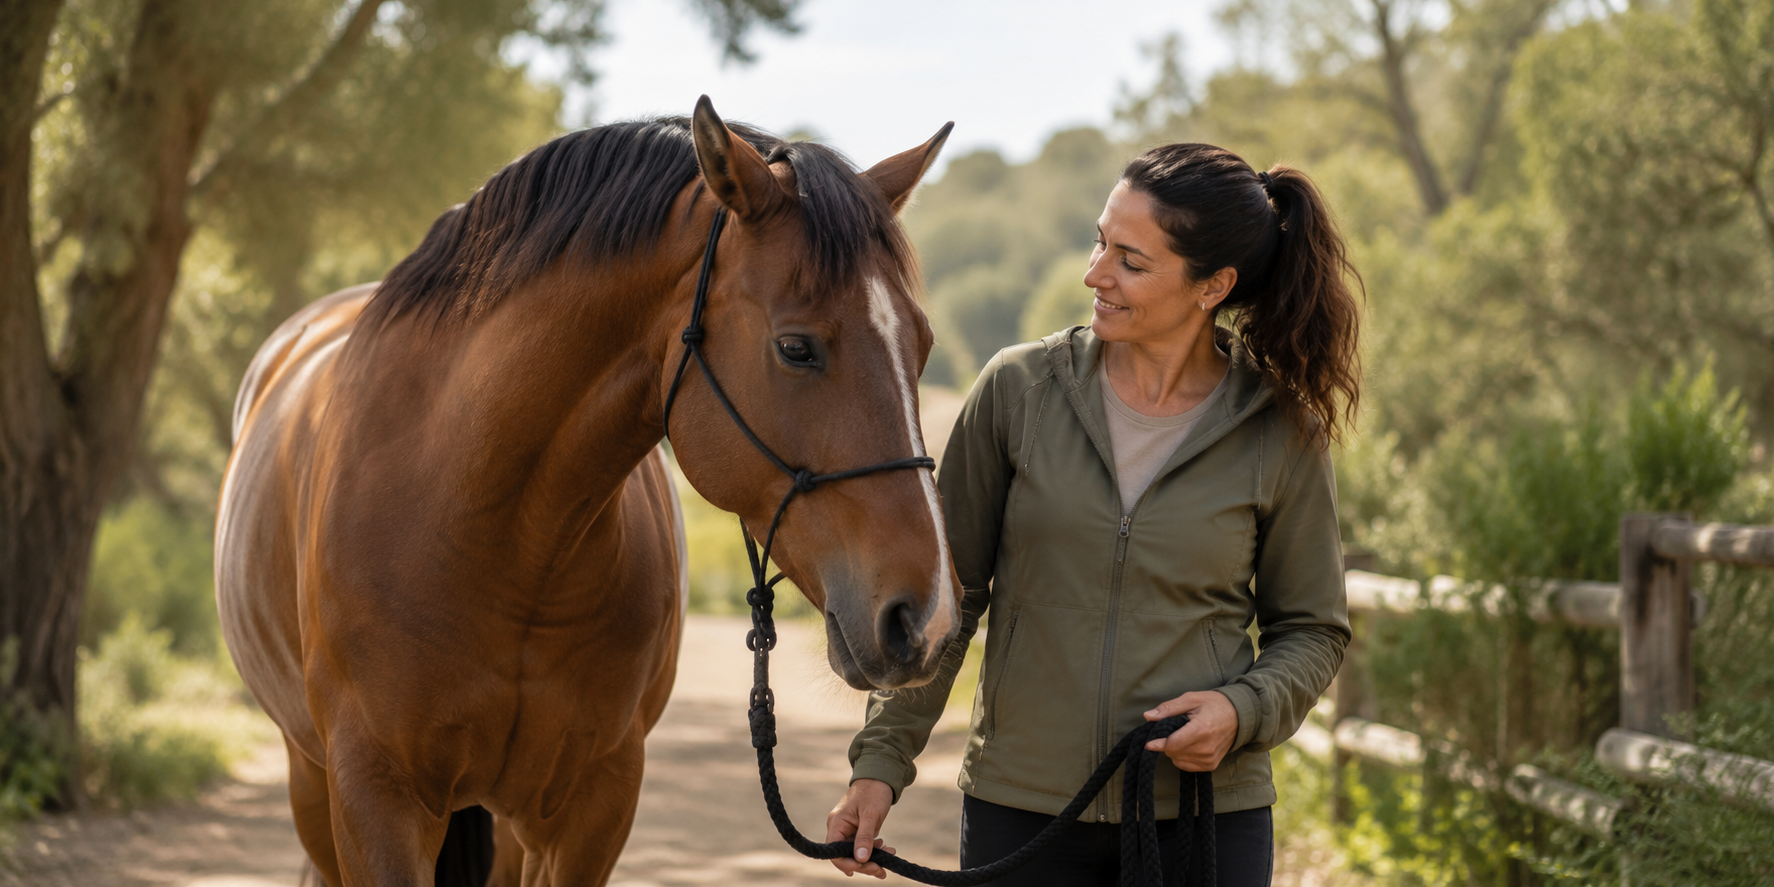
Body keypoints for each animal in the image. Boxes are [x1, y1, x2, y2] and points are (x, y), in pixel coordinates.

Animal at [214, 97, 961, 887]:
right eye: (796, 347)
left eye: (921, 345)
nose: (929, 618)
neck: (496, 537)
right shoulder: (375, 798)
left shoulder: (590, 806)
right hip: (311, 780)